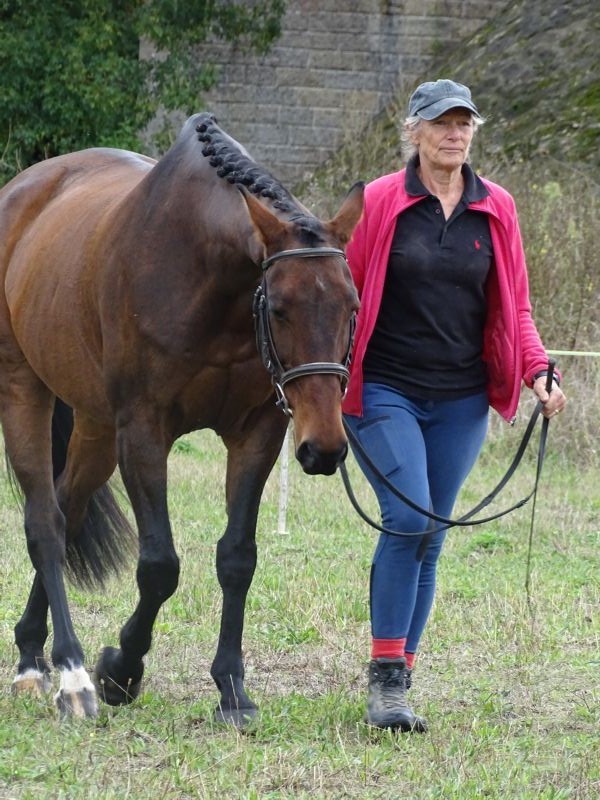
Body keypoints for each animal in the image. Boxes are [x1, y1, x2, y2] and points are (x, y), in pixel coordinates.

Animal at [0, 112, 364, 724]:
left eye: (352, 307)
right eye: (280, 308)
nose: (324, 448)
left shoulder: (257, 433)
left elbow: (238, 558)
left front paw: (232, 689)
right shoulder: (144, 433)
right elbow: (159, 566)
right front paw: (120, 669)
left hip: (96, 428)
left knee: (68, 510)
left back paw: (31, 652)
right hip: (25, 390)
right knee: (45, 525)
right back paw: (71, 675)